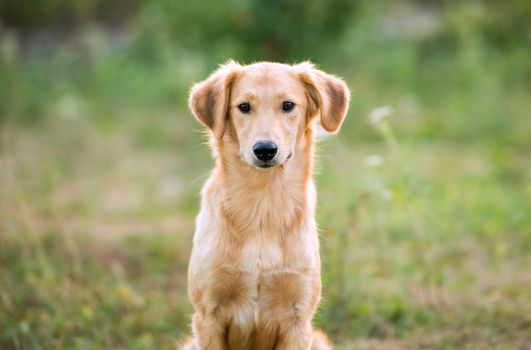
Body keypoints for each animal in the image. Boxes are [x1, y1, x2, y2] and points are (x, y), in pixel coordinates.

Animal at [181, 61, 352, 348]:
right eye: (243, 106)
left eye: (288, 105)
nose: (264, 149)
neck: (263, 206)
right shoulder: (208, 316)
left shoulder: (298, 319)